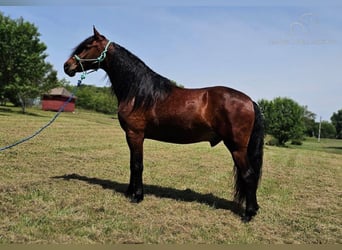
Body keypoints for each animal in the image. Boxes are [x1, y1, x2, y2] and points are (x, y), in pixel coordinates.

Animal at [64, 27, 264, 223]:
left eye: (87, 46)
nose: (67, 66)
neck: (138, 93)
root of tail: (250, 101)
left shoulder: (135, 134)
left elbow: (137, 165)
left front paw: (137, 196)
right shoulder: (132, 136)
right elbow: (132, 164)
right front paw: (129, 192)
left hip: (236, 147)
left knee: (249, 175)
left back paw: (248, 214)